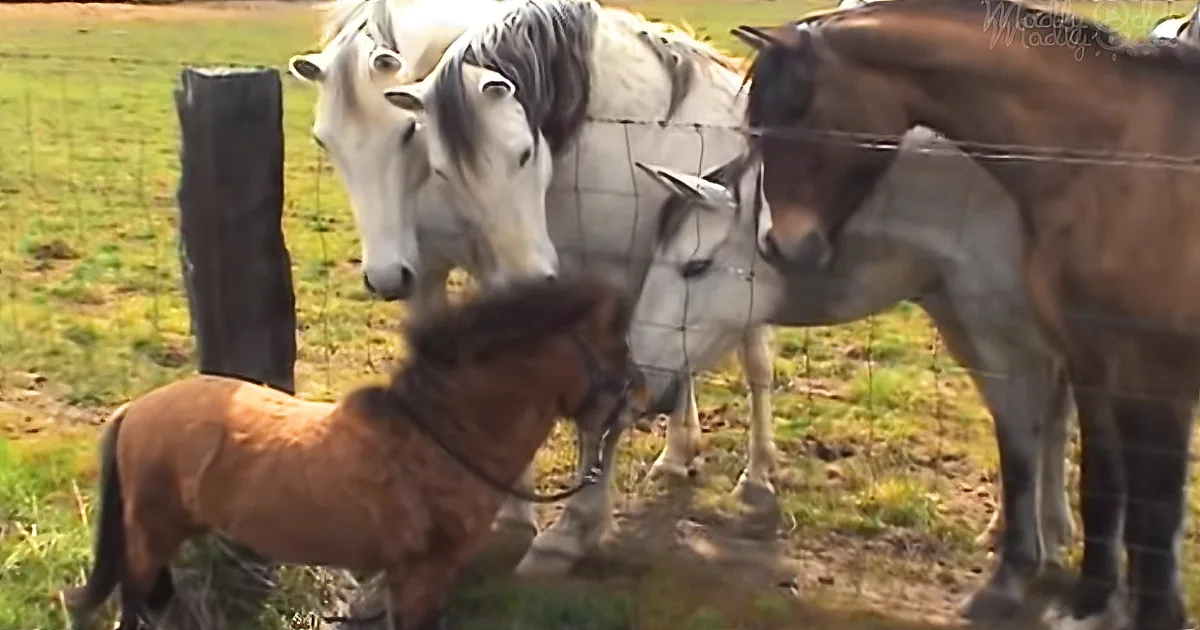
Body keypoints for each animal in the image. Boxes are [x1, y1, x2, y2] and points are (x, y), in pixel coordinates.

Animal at [62, 276, 645, 630]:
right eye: (617, 347)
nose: (638, 399)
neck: (439, 437)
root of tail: (133, 411)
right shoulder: (420, 574)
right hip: (149, 536)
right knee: (134, 603)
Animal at [285, 0, 776, 581]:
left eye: (408, 134)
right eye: (325, 142)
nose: (385, 276)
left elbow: (607, 407)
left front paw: (569, 534)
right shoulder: (464, 271)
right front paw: (511, 513)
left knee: (755, 366)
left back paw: (758, 481)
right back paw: (678, 453)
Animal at [737, 1, 1200, 627]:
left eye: (801, 113)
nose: (781, 247)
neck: (1115, 158)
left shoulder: (1152, 378)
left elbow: (1154, 519)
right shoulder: (1091, 364)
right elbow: (1102, 486)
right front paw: (1088, 604)